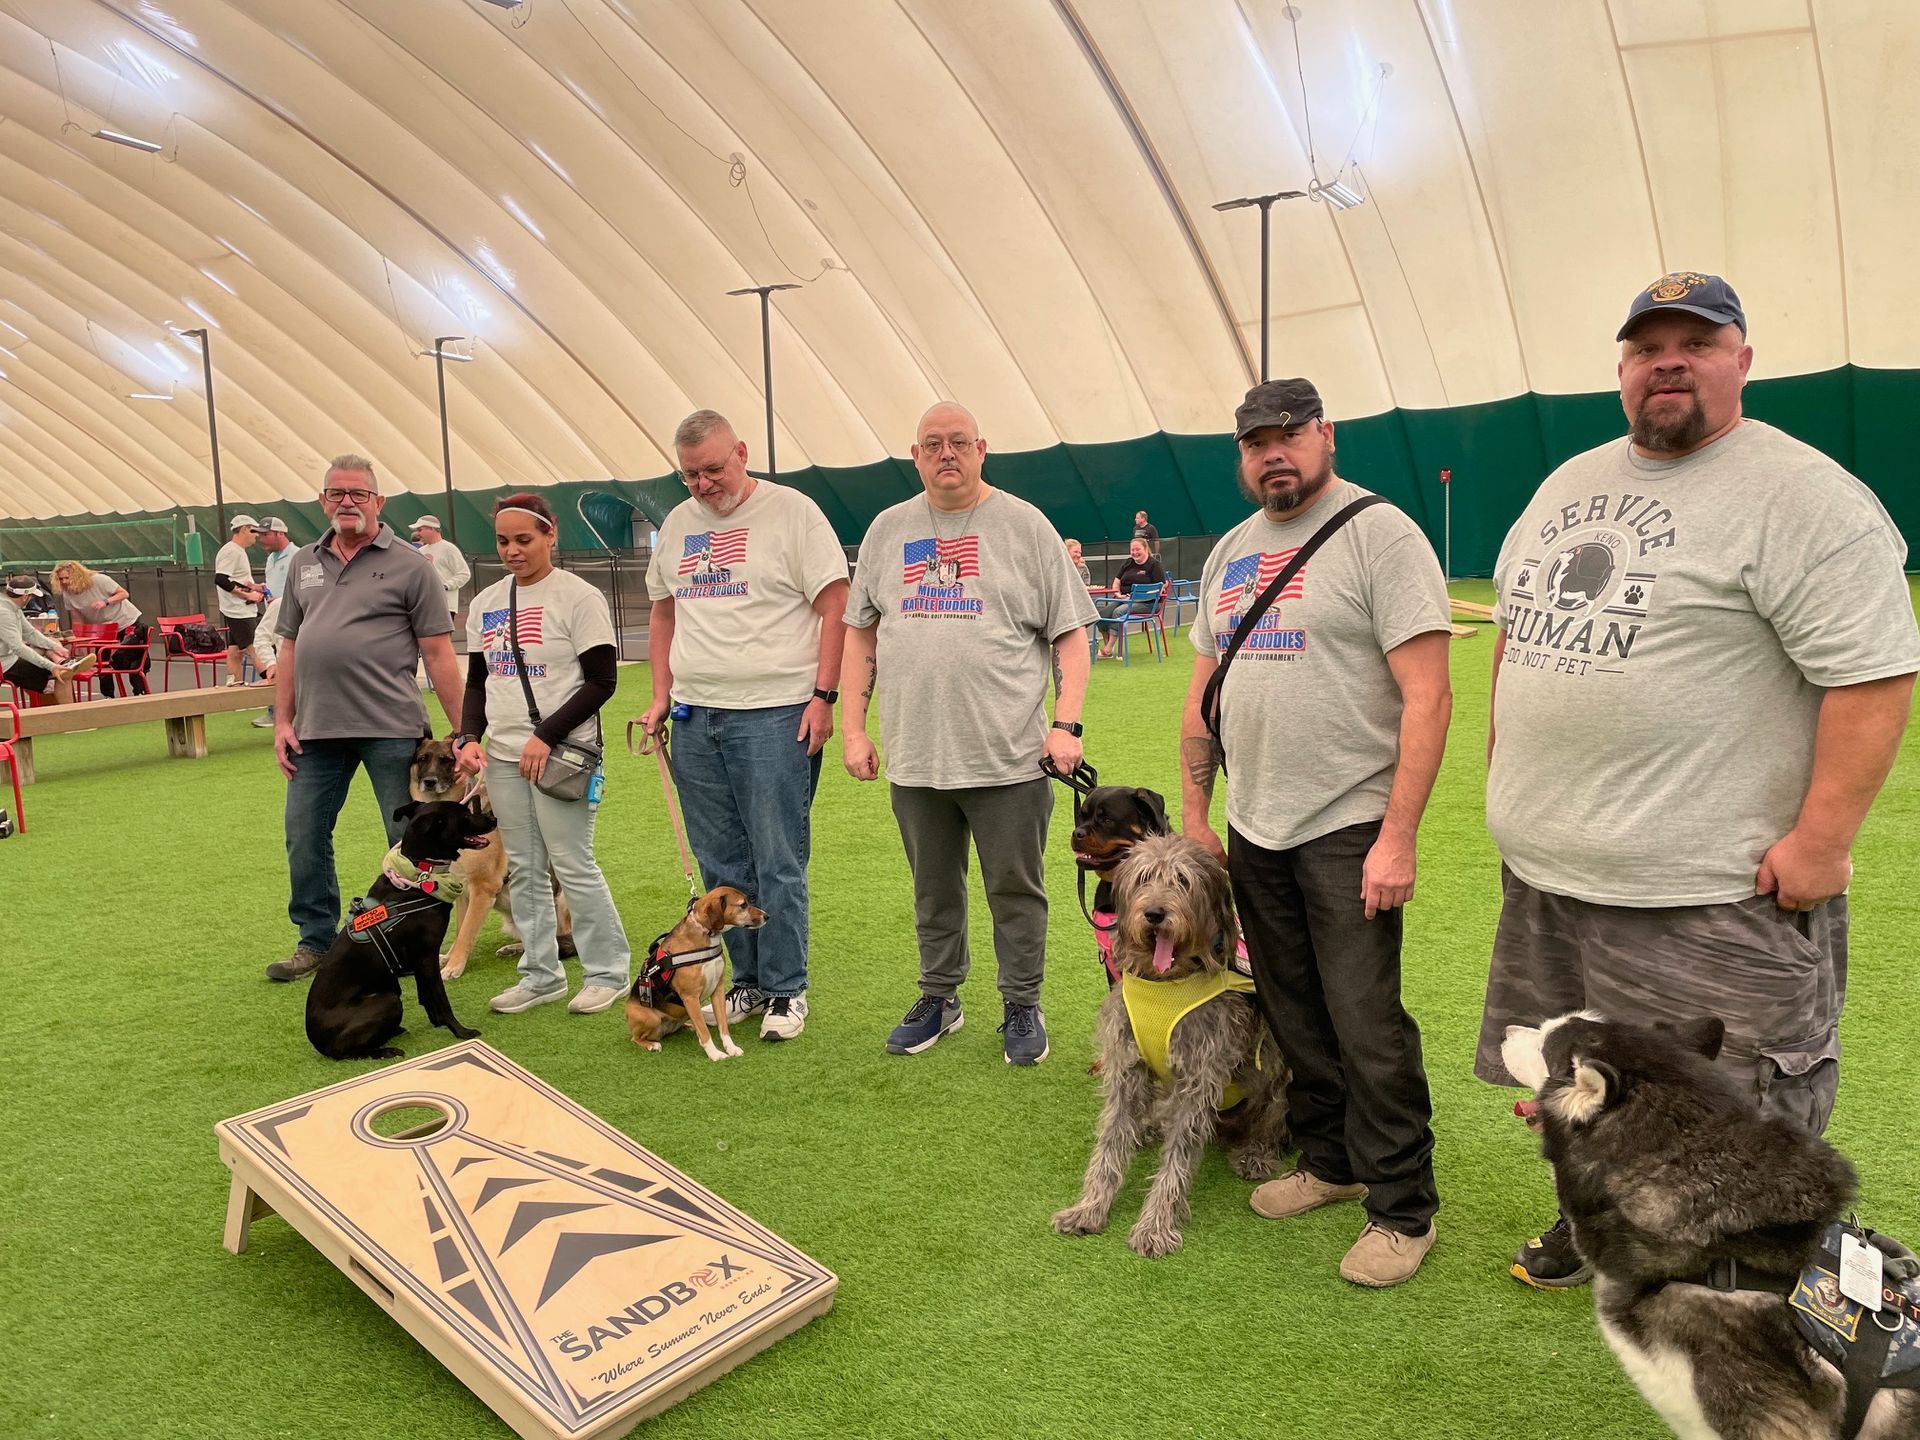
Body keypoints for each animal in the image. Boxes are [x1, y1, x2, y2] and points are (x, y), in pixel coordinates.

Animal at [408, 744, 572, 983]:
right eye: (422, 759)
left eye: (446, 760)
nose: (429, 781)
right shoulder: (462, 891)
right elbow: (460, 929)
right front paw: (449, 958)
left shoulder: (482, 890)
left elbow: (466, 932)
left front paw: (454, 966)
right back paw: (513, 948)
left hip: (562, 900)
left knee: (564, 939)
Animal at [618, 887, 760, 1067]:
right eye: (743, 905)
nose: (767, 916)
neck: (706, 935)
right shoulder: (690, 997)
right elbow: (705, 1033)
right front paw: (715, 1054)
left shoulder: (718, 990)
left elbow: (723, 1026)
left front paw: (731, 1048)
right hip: (650, 1018)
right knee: (635, 1038)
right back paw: (652, 1045)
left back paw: (688, 1027)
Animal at [1052, 833, 1290, 1259]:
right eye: (1144, 878)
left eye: (1183, 881)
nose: (1155, 913)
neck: (1164, 983)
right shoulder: (1127, 1068)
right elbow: (1109, 1145)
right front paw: (1089, 1208)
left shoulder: (1198, 1081)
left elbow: (1176, 1160)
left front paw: (1154, 1226)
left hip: (1275, 1062)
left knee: (1273, 1110)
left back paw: (1256, 1152)